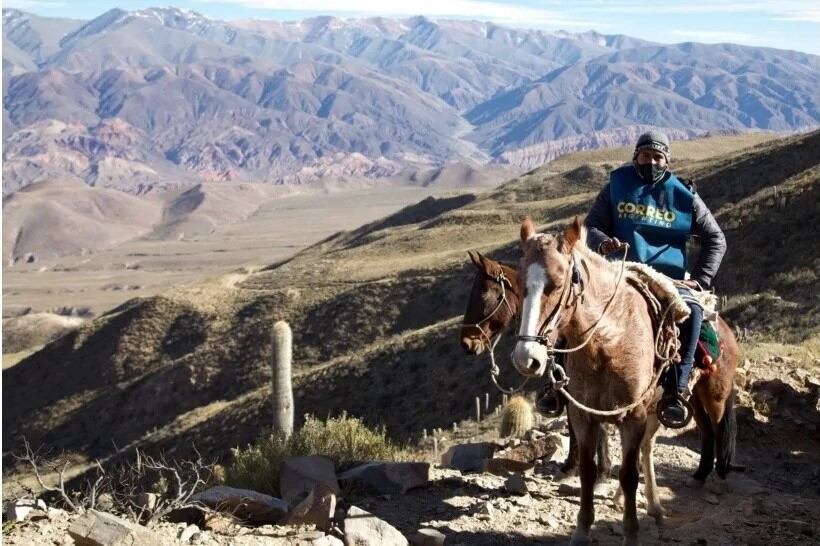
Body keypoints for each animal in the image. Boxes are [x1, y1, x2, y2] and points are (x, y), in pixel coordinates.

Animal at [512, 217, 736, 544]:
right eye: (519, 284)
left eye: (558, 283)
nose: (526, 358)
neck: (609, 341)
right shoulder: (584, 416)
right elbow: (588, 472)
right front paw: (582, 531)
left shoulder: (633, 416)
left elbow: (629, 474)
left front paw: (631, 532)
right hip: (669, 405)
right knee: (653, 446)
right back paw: (655, 505)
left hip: (712, 396)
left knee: (717, 429)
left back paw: (715, 480)